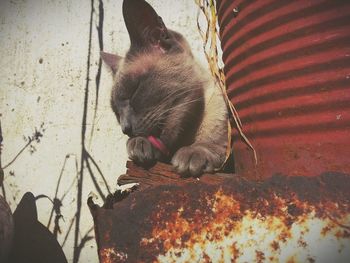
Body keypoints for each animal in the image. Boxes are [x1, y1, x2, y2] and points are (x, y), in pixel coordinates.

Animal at [100, 0, 230, 177]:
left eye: (134, 91)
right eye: (116, 113)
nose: (125, 129)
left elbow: (215, 144)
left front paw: (192, 153)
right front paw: (138, 143)